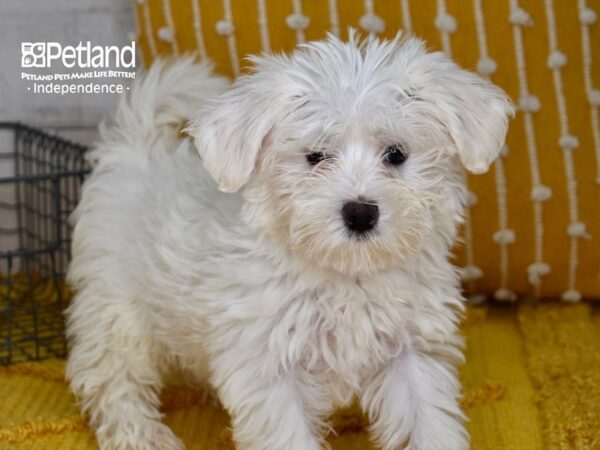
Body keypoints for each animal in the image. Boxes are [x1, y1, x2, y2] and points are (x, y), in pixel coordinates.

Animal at [67, 32, 516, 450]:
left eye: (396, 154)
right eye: (315, 157)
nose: (360, 213)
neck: (347, 274)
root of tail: (136, 150)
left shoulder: (412, 353)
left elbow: (428, 420)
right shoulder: (269, 369)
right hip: (117, 313)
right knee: (109, 378)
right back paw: (140, 433)